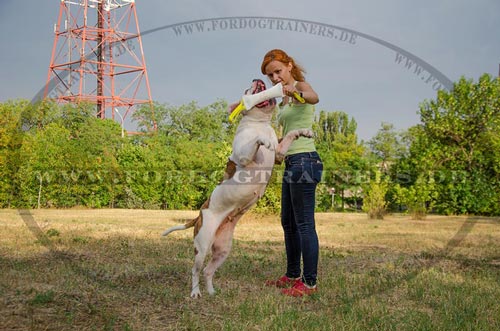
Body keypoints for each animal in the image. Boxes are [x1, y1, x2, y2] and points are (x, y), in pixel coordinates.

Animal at [162, 79, 312, 300]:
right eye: (247, 90)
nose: (257, 80)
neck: (260, 124)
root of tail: (199, 215)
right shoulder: (244, 155)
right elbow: (255, 142)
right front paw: (262, 140)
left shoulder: (278, 155)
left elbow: (289, 136)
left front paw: (303, 132)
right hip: (202, 245)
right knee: (195, 269)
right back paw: (196, 292)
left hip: (223, 249)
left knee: (208, 271)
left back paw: (211, 292)